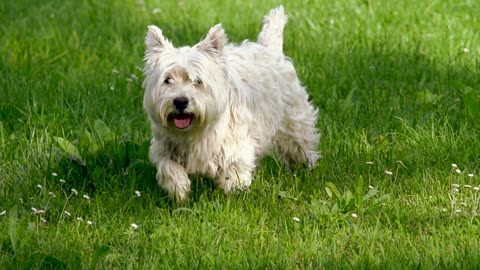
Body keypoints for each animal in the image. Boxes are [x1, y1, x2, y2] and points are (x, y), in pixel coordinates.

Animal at [144, 6, 320, 200]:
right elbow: (169, 167)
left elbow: (233, 175)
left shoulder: (234, 147)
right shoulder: (164, 147)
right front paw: (179, 191)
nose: (180, 101)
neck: (194, 133)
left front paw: (233, 197)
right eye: (167, 80)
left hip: (293, 123)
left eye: (197, 81)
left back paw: (306, 169)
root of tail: (270, 50)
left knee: (301, 146)